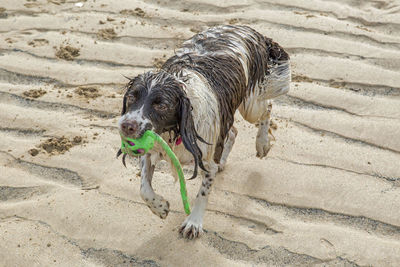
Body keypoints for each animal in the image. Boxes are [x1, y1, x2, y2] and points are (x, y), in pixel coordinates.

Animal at [117, 24, 290, 239]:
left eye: (161, 105)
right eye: (132, 97)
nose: (127, 125)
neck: (175, 132)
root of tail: (249, 29)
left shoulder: (207, 158)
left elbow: (203, 192)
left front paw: (194, 222)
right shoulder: (152, 151)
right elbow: (144, 188)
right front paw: (160, 207)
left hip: (250, 104)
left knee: (267, 109)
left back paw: (262, 143)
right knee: (233, 132)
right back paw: (224, 160)